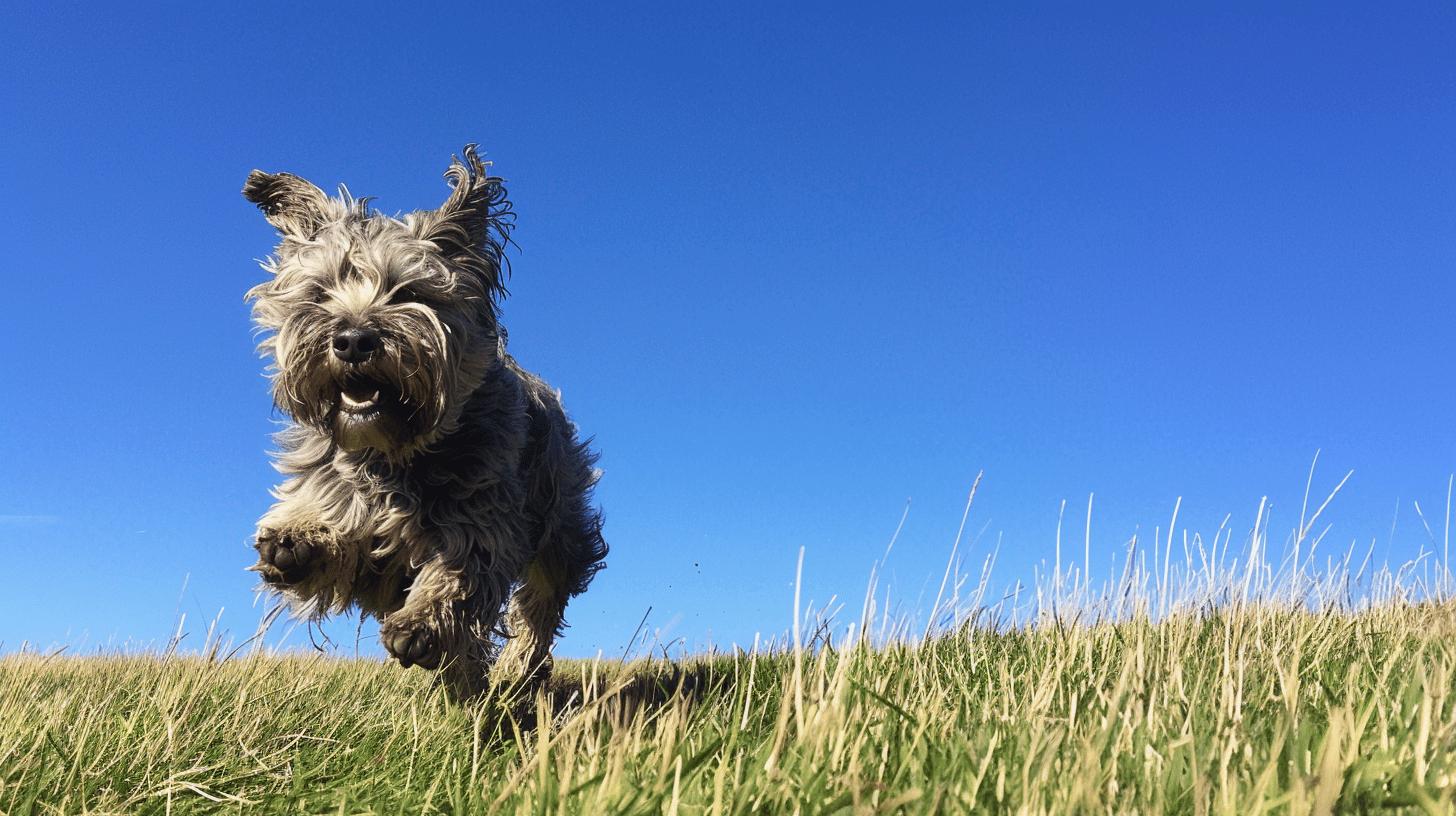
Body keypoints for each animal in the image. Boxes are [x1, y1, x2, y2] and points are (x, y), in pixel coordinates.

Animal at [241, 144, 605, 693]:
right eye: (320, 292)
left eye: (408, 293)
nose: (353, 340)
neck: (393, 453)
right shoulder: (355, 526)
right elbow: (337, 538)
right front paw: (297, 541)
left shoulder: (487, 510)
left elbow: (466, 566)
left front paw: (421, 625)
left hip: (559, 522)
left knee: (540, 603)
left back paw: (518, 667)